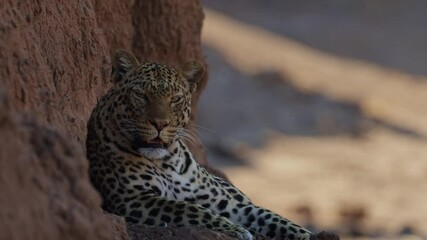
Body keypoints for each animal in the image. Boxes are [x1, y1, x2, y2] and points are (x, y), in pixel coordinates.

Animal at [87, 49, 314, 239]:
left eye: (175, 99)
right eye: (141, 95)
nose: (160, 123)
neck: (166, 162)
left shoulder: (225, 202)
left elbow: (270, 216)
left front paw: (305, 234)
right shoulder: (133, 198)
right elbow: (188, 209)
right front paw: (237, 230)